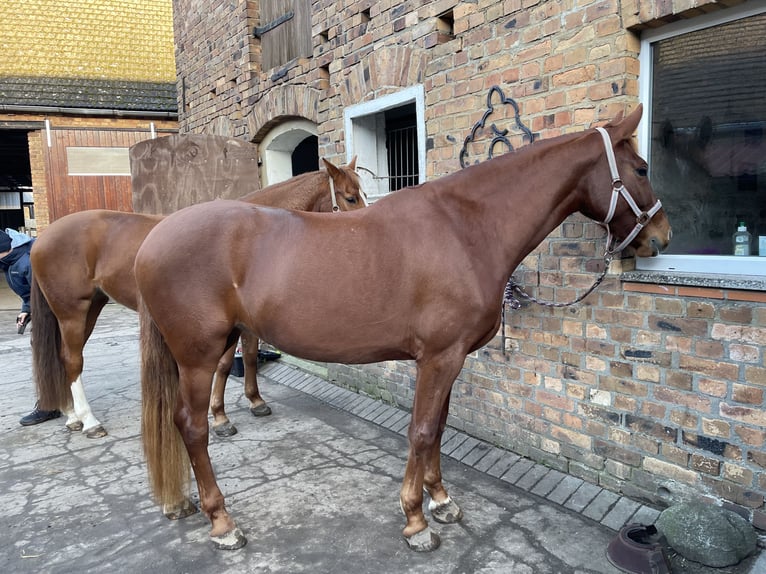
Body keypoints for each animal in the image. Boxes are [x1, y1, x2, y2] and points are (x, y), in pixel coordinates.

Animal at [30, 158, 366, 436]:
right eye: (350, 197)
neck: (251, 234)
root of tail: (44, 237)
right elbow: (225, 364)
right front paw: (219, 417)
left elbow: (249, 356)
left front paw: (255, 401)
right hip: (72, 312)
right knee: (73, 359)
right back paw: (89, 421)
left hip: (90, 308)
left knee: (64, 357)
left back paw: (71, 415)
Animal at [136, 107, 672, 552]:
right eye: (642, 169)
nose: (660, 237)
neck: (465, 229)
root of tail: (154, 237)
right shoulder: (438, 357)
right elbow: (421, 431)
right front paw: (416, 520)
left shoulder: (451, 359)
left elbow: (438, 428)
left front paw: (441, 500)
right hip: (197, 355)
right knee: (191, 426)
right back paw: (222, 522)